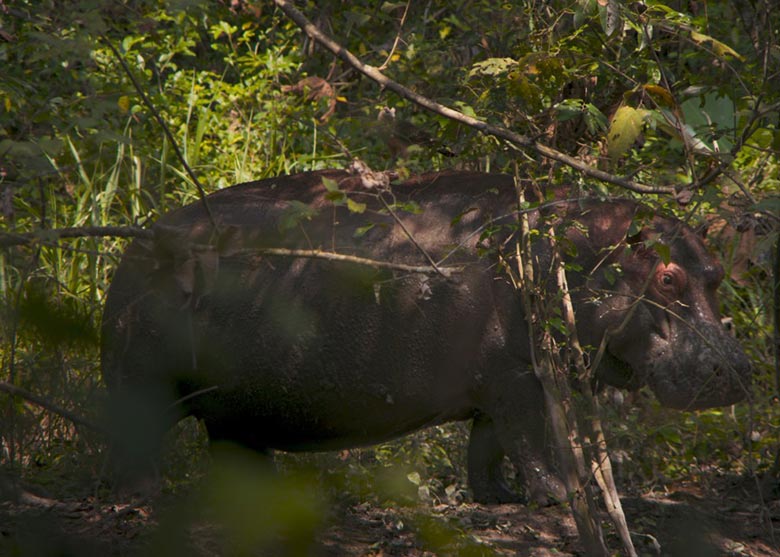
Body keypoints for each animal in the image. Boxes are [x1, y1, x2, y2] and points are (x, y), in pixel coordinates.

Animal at [100, 167, 752, 502]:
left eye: (716, 272)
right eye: (666, 278)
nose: (739, 370)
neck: (574, 252)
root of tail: (137, 242)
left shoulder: (500, 382)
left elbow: (488, 448)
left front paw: (497, 500)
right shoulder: (518, 380)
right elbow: (529, 442)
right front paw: (561, 498)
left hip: (237, 409)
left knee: (237, 453)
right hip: (142, 384)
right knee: (133, 443)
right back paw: (143, 496)